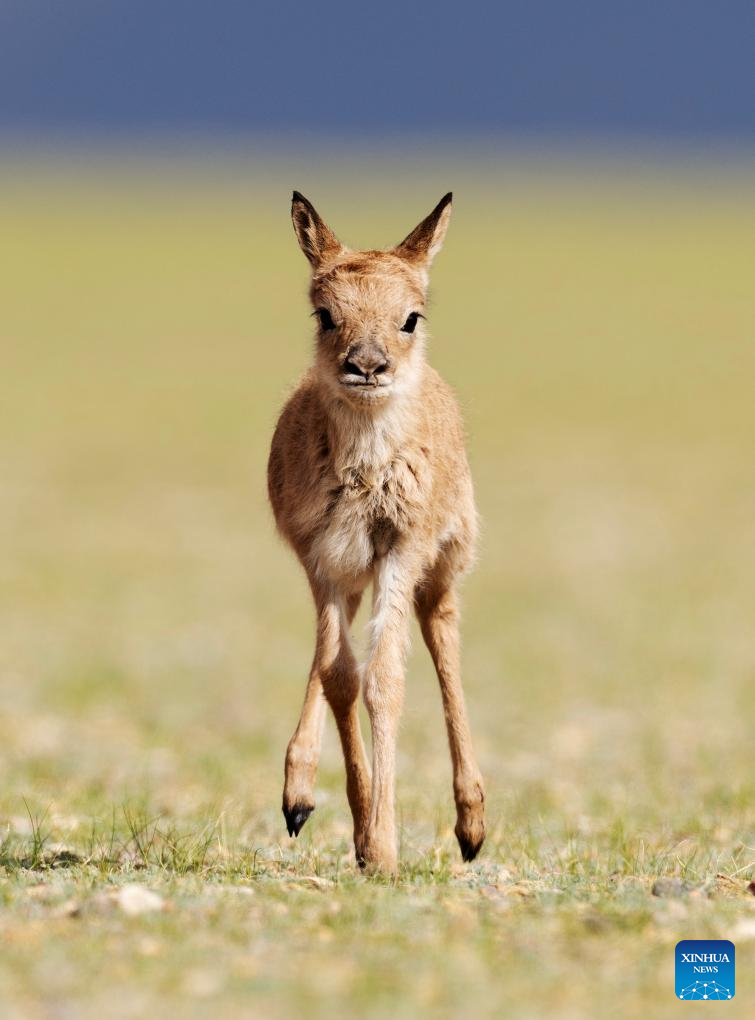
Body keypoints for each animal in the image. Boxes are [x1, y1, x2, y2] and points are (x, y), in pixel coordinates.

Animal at [269, 192, 485, 877]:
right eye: (325, 314)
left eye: (410, 317)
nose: (367, 365)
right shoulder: (322, 560)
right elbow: (340, 675)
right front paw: (362, 833)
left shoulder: (402, 549)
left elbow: (385, 678)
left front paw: (384, 848)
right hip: (349, 576)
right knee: (332, 662)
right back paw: (298, 795)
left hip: (440, 567)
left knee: (442, 634)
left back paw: (472, 824)